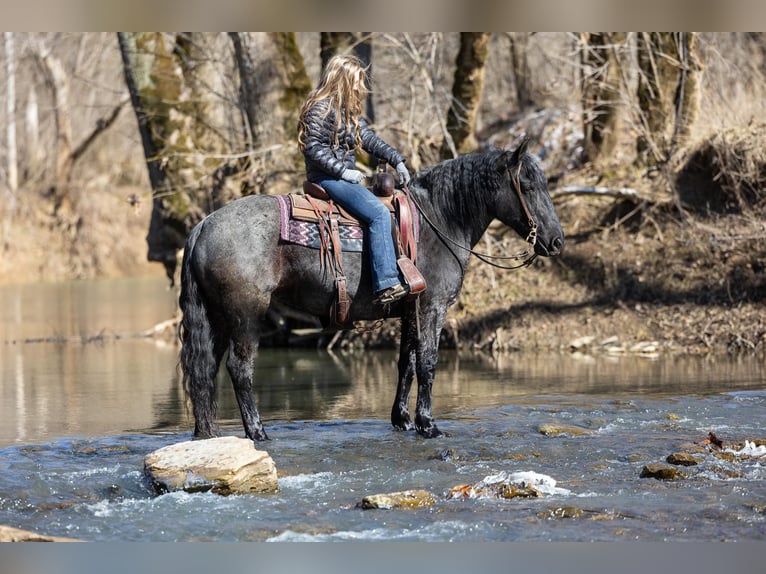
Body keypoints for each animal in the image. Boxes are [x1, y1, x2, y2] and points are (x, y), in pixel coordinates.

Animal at [180, 138, 564, 440]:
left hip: (217, 319)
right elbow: (428, 362)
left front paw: (404, 421)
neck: (439, 219)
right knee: (239, 369)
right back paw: (258, 432)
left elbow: (406, 363)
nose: (557, 241)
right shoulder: (432, 307)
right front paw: (429, 424)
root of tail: (203, 224)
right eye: (527, 185)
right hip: (246, 316)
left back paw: (207, 433)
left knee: (205, 371)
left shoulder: (410, 310)